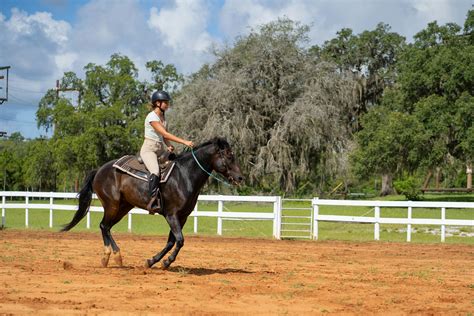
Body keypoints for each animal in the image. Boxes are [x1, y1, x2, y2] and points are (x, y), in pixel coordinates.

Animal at [60, 138, 243, 270]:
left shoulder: (182, 217)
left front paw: (153, 261)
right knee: (104, 226)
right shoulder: (171, 215)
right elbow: (180, 240)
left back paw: (113, 257)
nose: (240, 177)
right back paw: (111, 257)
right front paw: (166, 262)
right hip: (112, 205)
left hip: (123, 208)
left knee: (107, 227)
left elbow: (171, 241)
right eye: (229, 156)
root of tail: (99, 170)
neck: (184, 175)